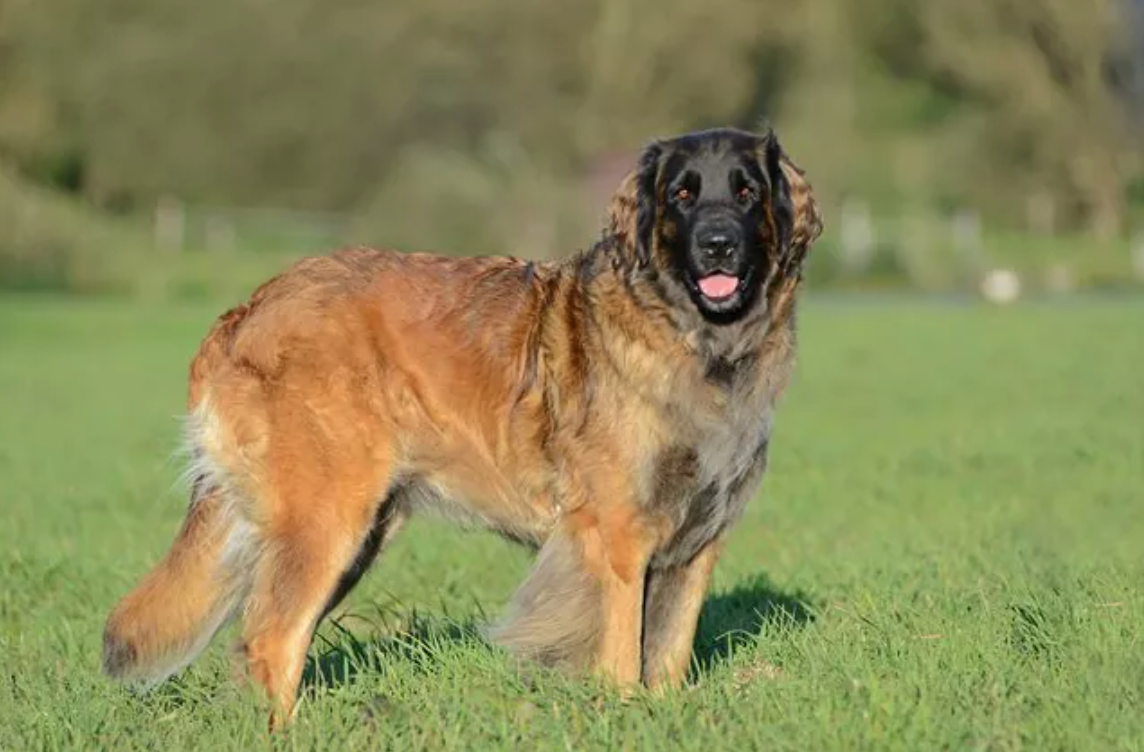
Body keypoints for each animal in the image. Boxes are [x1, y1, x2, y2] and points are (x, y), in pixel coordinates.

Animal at [102, 127, 823, 723]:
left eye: (746, 192)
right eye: (682, 194)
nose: (717, 245)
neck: (697, 343)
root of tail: (245, 312)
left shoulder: (698, 542)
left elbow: (667, 653)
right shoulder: (618, 536)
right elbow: (623, 653)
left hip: (352, 534)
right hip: (326, 522)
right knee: (270, 640)